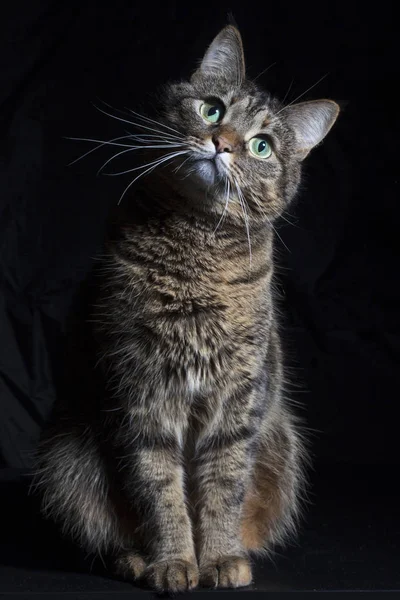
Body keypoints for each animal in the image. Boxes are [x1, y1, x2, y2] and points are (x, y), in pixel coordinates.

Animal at [34, 25, 340, 592]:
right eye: (212, 110)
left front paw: (218, 558)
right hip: (68, 457)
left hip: (281, 445)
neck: (196, 249)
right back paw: (135, 559)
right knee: (108, 528)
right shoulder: (141, 392)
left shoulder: (238, 400)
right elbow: (161, 493)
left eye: (262, 146)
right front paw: (174, 562)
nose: (223, 144)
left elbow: (221, 490)